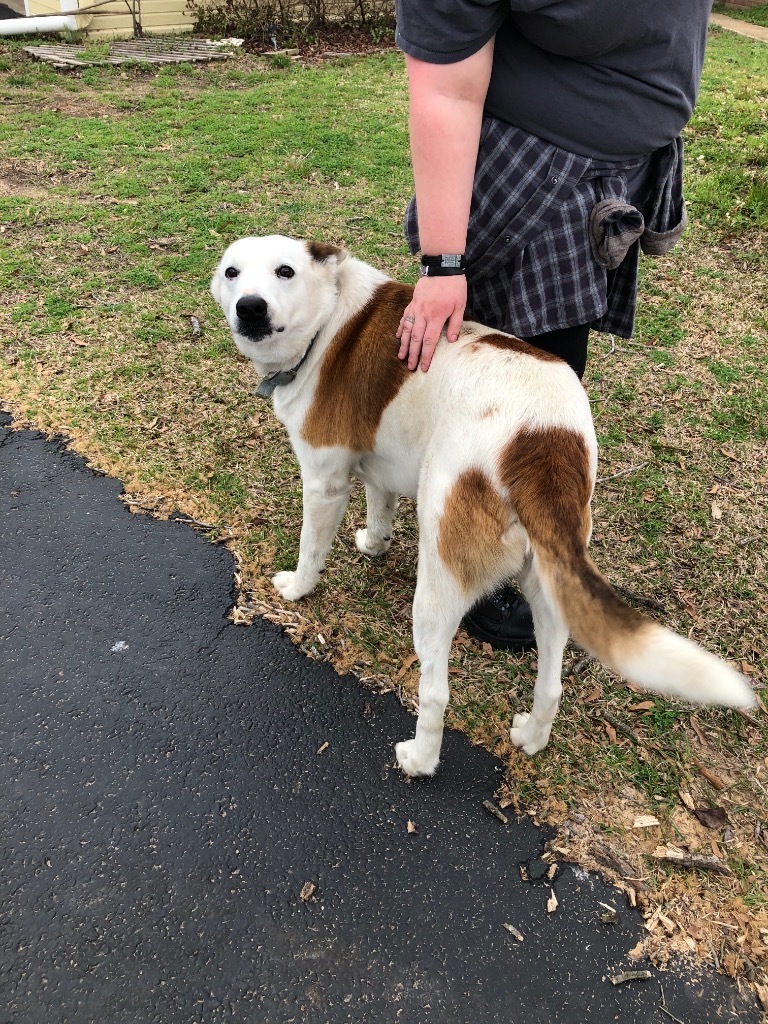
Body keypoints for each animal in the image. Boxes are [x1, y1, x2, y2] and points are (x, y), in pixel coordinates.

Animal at [211, 234, 757, 774]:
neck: (328, 320)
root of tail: (541, 445)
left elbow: (311, 549)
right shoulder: (380, 464)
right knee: (552, 683)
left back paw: (419, 758)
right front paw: (373, 542)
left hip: (439, 582)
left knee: (436, 692)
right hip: (552, 582)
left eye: (285, 271)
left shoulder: (324, 482)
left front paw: (296, 588)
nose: (250, 308)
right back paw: (532, 738)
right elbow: (380, 505)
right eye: (232, 272)